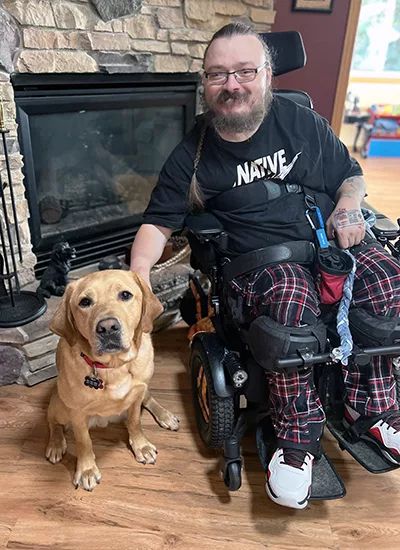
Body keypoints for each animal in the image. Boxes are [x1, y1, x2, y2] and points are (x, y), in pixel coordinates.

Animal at [45, 272, 180, 492]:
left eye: (125, 294)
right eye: (85, 302)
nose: (107, 327)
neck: (113, 366)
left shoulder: (136, 396)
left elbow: (135, 422)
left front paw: (141, 445)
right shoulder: (77, 412)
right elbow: (83, 441)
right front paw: (86, 470)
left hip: (143, 388)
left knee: (149, 399)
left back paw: (165, 415)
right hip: (61, 406)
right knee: (52, 421)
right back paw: (56, 443)